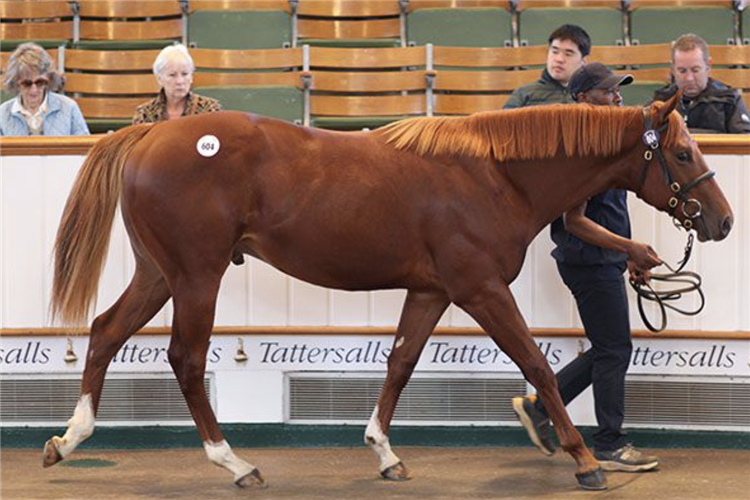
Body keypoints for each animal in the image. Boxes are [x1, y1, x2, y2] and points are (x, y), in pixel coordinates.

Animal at [42, 92, 736, 490]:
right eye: (680, 152)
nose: (722, 220)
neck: (495, 174)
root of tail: (149, 134)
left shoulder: (431, 292)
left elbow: (400, 364)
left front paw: (384, 454)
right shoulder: (481, 289)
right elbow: (537, 364)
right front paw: (585, 460)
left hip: (159, 274)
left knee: (105, 331)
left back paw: (68, 440)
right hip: (196, 276)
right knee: (185, 360)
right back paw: (235, 464)